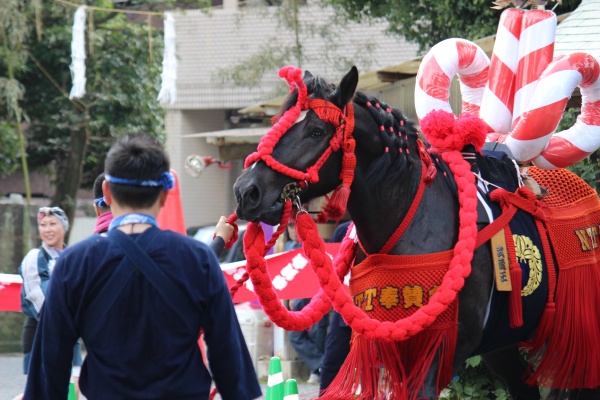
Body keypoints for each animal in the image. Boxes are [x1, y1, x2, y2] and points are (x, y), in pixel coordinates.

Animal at [232, 67, 596, 398]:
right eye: (279, 121)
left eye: (317, 131)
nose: (246, 191)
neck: (410, 223)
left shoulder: (443, 347)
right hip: (502, 340)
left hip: (577, 333)